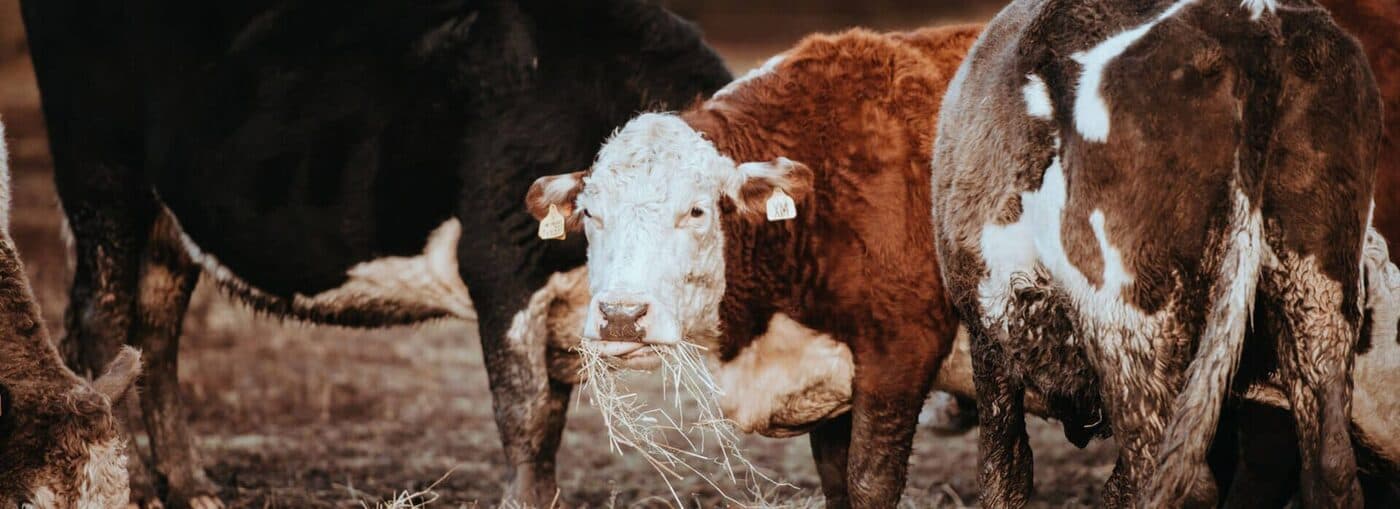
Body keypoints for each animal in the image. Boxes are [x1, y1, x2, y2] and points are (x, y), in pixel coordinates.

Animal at [19, 0, 731, 506]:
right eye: (596, 210)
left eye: (700, 213)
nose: (628, 313)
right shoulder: (502, 262)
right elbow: (526, 418)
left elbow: (549, 418)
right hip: (103, 178)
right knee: (101, 320)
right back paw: (138, 488)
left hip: (169, 218)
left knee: (155, 334)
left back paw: (191, 489)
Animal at [528, 25, 982, 508]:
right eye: (590, 213)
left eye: (696, 211)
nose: (621, 316)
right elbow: (837, 480)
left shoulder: (902, 351)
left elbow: (869, 481)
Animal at [931, 0, 1382, 507]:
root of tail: (1253, 25)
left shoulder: (989, 333)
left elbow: (1003, 472)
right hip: (1319, 291)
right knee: (1331, 465)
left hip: (1129, 323)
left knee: (1172, 477)